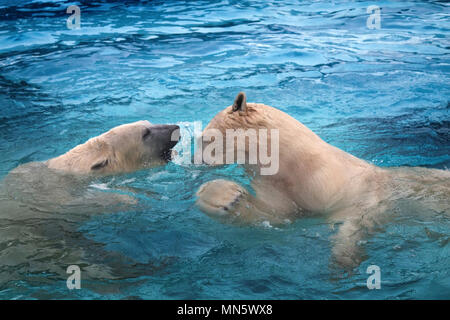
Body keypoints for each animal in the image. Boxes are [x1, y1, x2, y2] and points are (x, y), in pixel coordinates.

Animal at [195, 92, 448, 270]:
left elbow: (356, 225)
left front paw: (342, 262)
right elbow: (277, 215)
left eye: (205, 139)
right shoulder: (287, 191)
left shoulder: (356, 197)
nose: (195, 160)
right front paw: (220, 196)